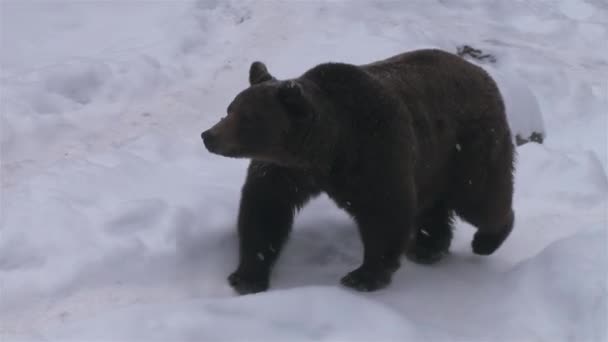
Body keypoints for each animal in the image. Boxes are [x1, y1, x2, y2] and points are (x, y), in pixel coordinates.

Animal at [203, 48, 512, 294]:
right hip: (431, 161)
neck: (327, 150)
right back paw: (427, 248)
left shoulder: (376, 153)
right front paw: (246, 276)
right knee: (433, 206)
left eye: (248, 117)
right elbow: (264, 210)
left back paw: (487, 239)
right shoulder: (285, 171)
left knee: (480, 197)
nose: (209, 136)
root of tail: (482, 73)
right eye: (230, 108)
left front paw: (362, 276)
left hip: (465, 147)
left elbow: (385, 212)